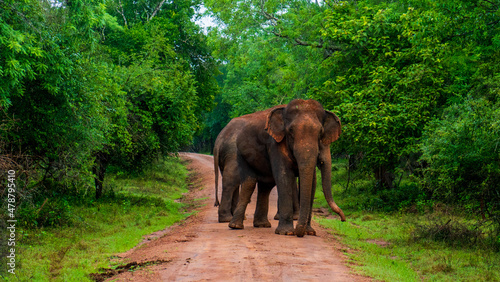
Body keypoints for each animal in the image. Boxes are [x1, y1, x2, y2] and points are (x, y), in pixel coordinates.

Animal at [222, 99, 344, 236]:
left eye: (320, 133)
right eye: (290, 131)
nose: (343, 219)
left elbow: (312, 182)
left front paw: (310, 232)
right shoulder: (275, 143)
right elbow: (284, 176)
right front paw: (286, 233)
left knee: (265, 186)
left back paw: (262, 225)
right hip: (241, 153)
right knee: (250, 182)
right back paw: (235, 226)